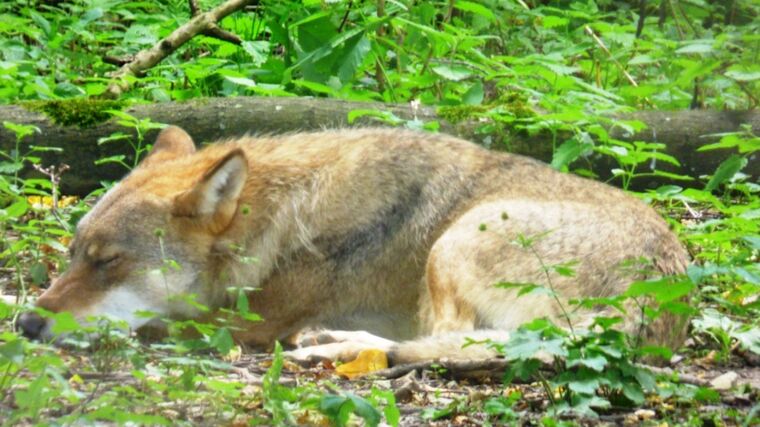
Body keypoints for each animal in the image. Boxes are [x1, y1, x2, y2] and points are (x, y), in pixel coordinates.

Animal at [16, 127, 688, 364]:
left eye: (109, 262)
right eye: (73, 255)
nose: (25, 326)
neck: (284, 218)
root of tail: (655, 294)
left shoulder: (247, 322)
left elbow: (153, 325)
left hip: (456, 241)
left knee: (442, 343)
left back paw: (330, 345)